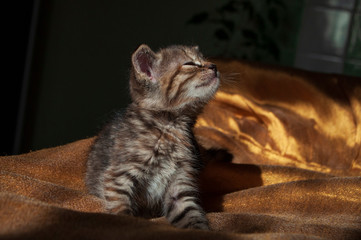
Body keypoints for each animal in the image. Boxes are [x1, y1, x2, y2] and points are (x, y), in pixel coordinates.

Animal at [85, 44, 219, 230]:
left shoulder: (180, 184)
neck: (170, 127)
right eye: (190, 64)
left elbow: (191, 216)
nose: (214, 66)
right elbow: (122, 211)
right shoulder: (118, 176)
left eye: (204, 60)